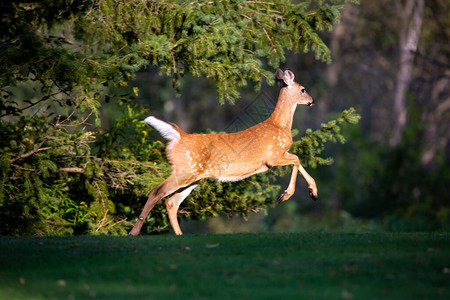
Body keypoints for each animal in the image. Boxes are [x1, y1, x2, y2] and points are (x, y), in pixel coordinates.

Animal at [130, 69, 318, 236]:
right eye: (303, 89)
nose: (312, 100)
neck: (280, 125)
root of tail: (179, 136)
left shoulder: (281, 154)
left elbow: (298, 160)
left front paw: (313, 193)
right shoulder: (273, 156)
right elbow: (297, 159)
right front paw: (285, 195)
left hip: (193, 177)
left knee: (171, 202)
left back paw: (178, 234)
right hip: (186, 170)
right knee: (156, 191)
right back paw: (134, 232)